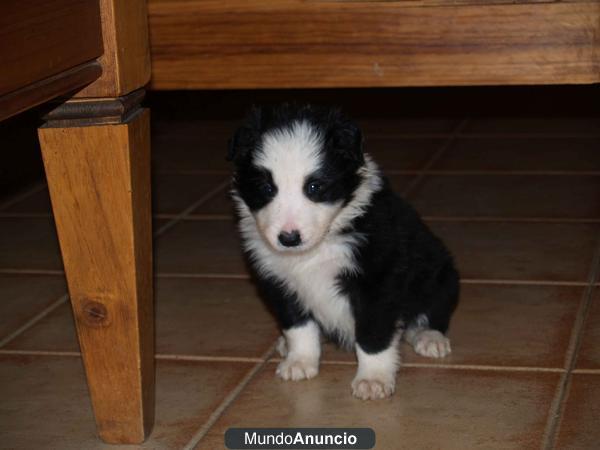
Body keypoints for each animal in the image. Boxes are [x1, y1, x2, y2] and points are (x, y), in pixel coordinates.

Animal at [227, 103, 458, 400]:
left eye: (315, 187)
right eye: (266, 188)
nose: (289, 238)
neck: (316, 248)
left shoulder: (378, 279)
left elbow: (373, 333)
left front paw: (373, 379)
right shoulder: (278, 280)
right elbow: (297, 324)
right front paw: (300, 361)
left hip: (440, 274)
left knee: (431, 312)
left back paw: (429, 337)